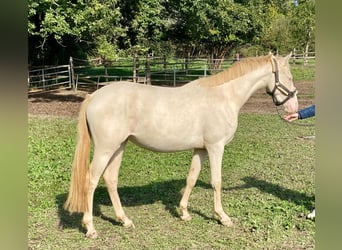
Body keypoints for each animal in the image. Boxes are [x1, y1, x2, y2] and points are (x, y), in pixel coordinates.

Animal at [65, 53, 298, 237]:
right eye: (288, 77)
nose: (294, 108)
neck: (224, 96)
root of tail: (94, 96)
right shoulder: (216, 147)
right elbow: (216, 181)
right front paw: (222, 217)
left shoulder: (201, 149)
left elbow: (191, 178)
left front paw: (184, 213)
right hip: (105, 149)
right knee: (91, 180)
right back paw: (90, 228)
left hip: (118, 147)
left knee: (110, 179)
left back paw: (124, 220)